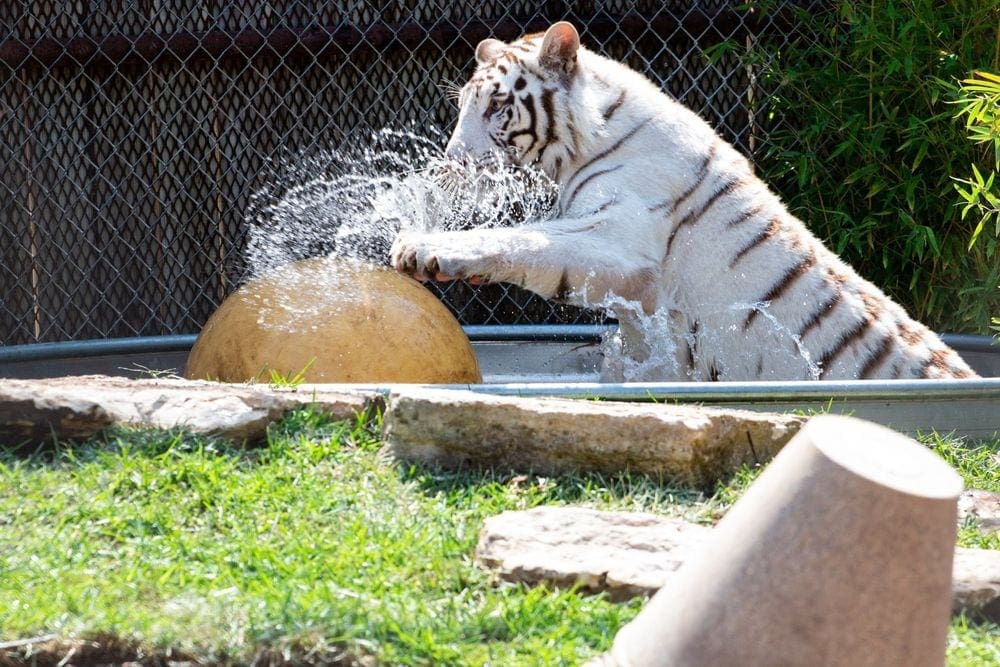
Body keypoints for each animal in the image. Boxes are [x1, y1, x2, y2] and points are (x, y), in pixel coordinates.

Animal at [388, 20, 976, 380]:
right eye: (464, 106)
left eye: (497, 106)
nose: (452, 165)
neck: (583, 143)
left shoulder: (620, 241)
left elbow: (523, 241)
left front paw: (423, 247)